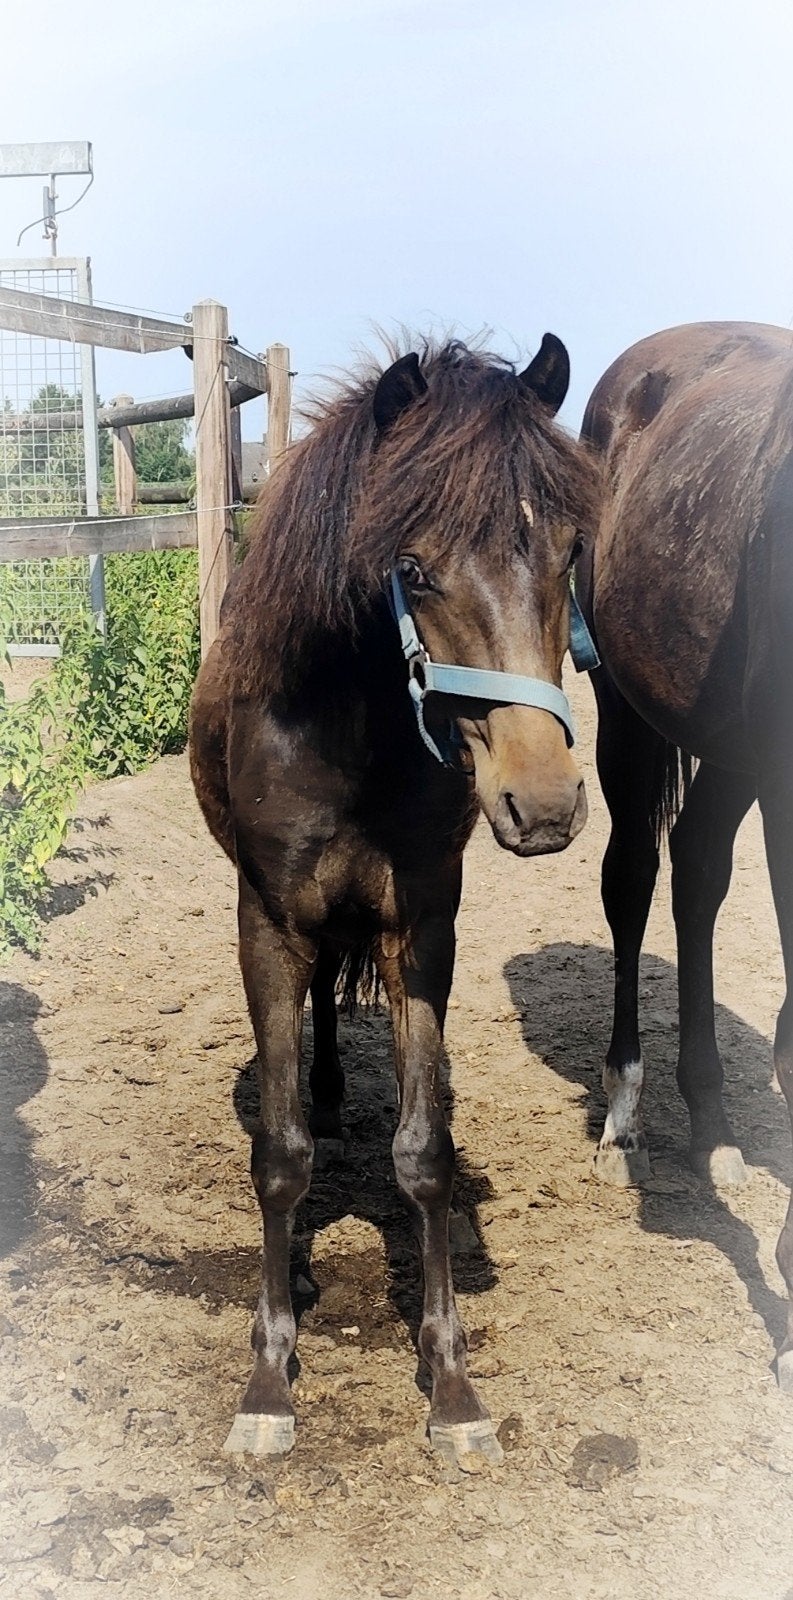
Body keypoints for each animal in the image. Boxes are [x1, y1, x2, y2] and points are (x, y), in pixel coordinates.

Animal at [189, 334, 601, 1462]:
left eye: (568, 553)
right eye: (411, 570)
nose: (543, 802)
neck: (346, 733)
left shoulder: (422, 931)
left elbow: (423, 1153)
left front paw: (451, 1383)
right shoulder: (266, 925)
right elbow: (279, 1156)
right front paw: (268, 1378)